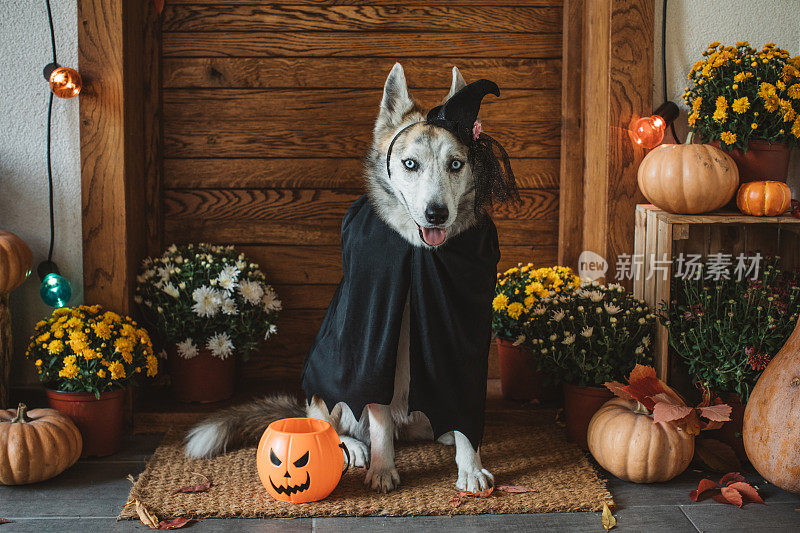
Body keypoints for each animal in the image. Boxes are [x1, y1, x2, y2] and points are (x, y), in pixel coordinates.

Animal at [188, 64, 500, 492]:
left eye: (456, 164)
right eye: (410, 164)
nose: (437, 214)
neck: (418, 257)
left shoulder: (462, 343)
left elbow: (464, 413)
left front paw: (469, 465)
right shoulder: (373, 349)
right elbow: (377, 418)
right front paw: (383, 469)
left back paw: (444, 434)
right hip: (325, 384)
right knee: (325, 423)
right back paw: (350, 445)